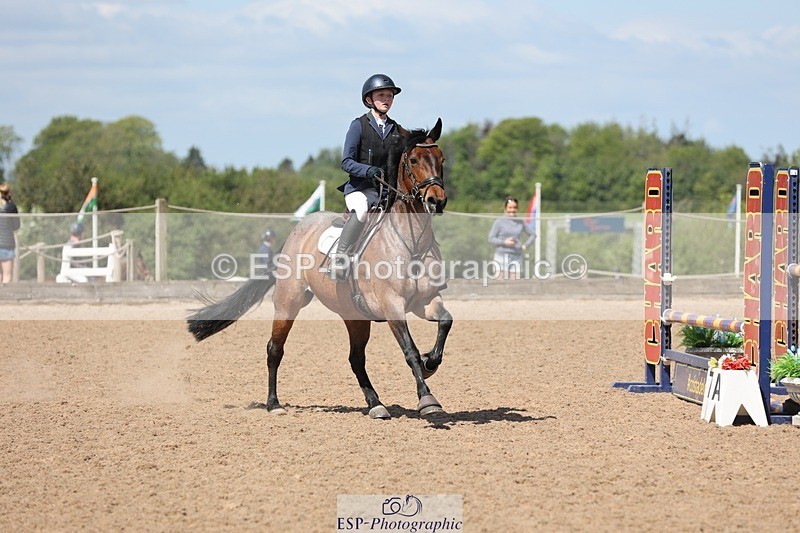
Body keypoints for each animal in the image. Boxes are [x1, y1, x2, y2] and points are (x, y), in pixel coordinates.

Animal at [187, 118, 453, 419]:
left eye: (441, 158)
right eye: (414, 159)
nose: (436, 201)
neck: (412, 243)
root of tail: (296, 231)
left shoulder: (425, 300)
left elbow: (445, 321)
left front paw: (430, 363)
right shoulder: (392, 305)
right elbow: (409, 350)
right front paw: (427, 399)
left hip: (354, 315)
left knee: (356, 359)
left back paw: (376, 404)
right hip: (289, 302)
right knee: (275, 349)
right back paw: (274, 404)